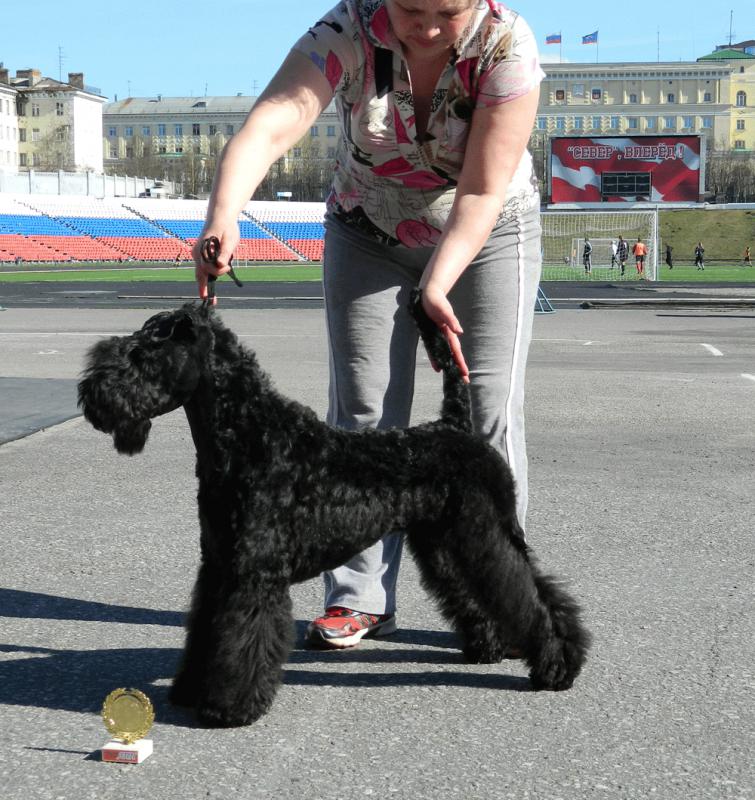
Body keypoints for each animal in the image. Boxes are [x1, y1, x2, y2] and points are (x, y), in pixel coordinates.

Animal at [78, 290, 590, 727]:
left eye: (144, 355)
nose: (92, 395)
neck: (247, 434)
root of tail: (455, 425)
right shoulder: (218, 564)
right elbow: (205, 627)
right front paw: (189, 688)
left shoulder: (252, 571)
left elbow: (241, 636)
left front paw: (229, 707)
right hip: (445, 542)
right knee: (474, 590)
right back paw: (488, 646)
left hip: (484, 533)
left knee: (529, 592)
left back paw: (557, 666)